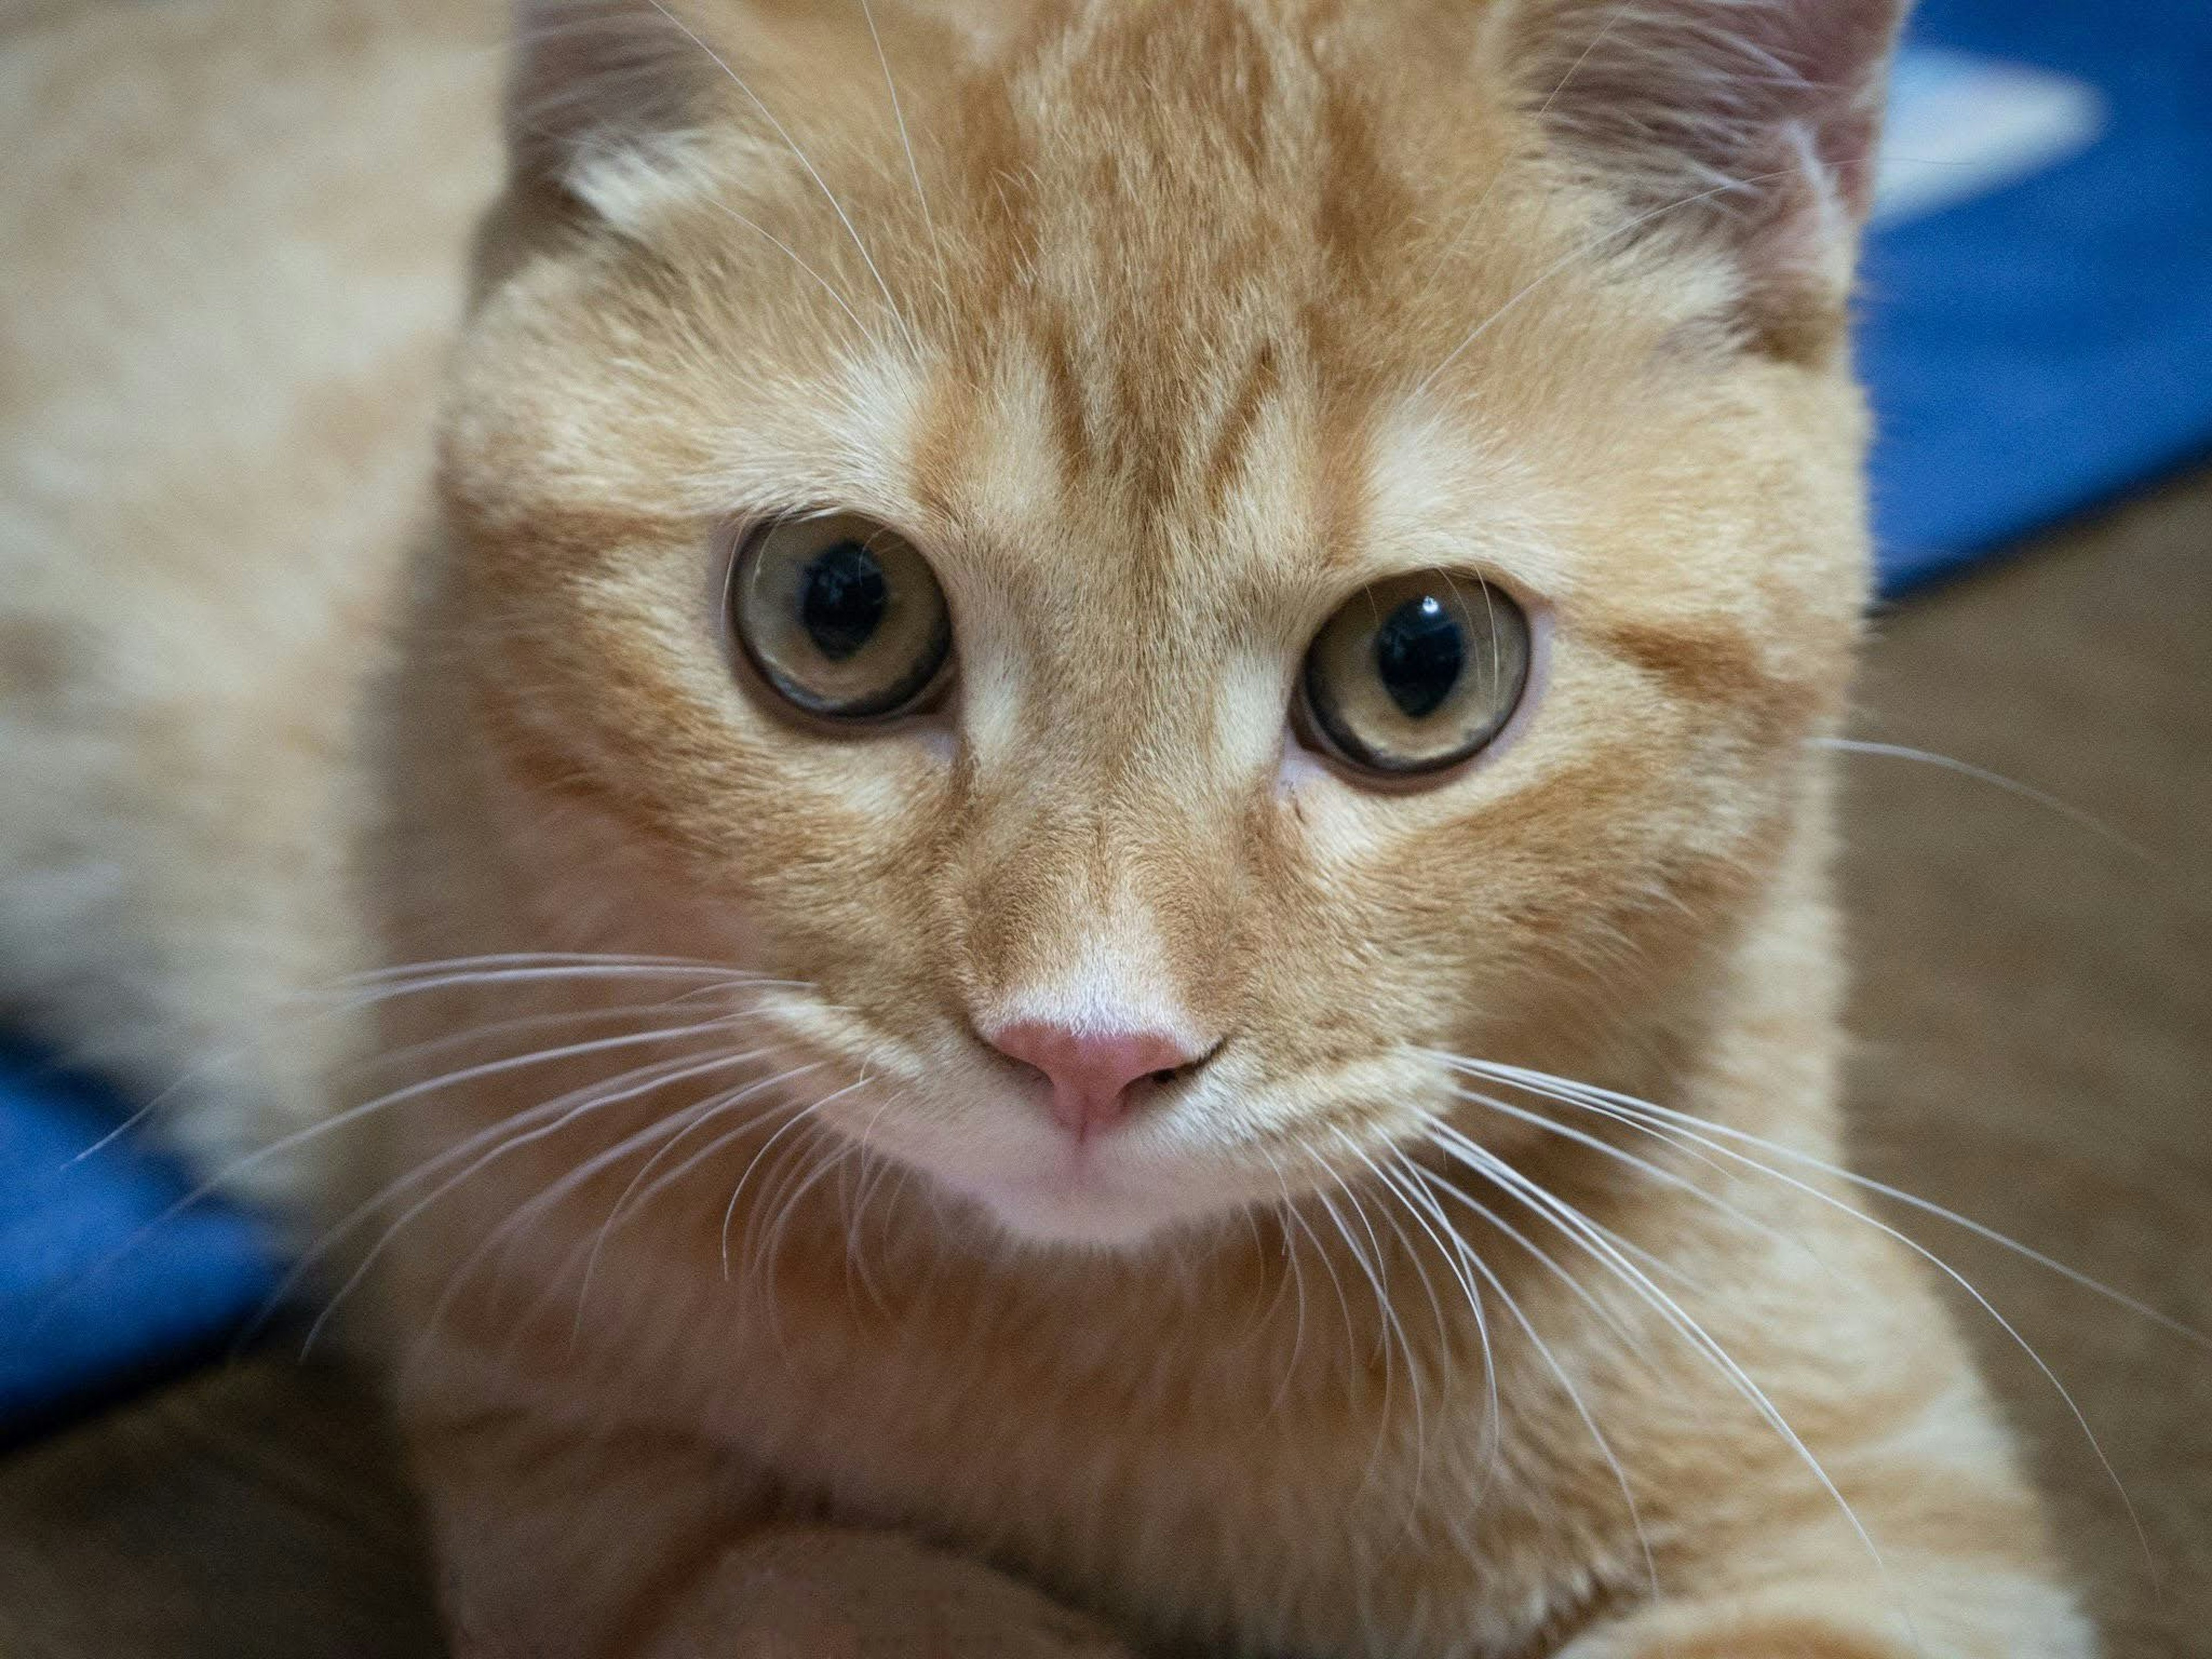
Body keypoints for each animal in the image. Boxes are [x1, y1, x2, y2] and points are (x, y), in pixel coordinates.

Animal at [0, 0, 2088, 1654]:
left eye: (1423, 666)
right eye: (839, 609)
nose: (1093, 1048)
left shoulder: (1865, 1514)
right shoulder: (585, 1478)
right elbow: (842, 1584)